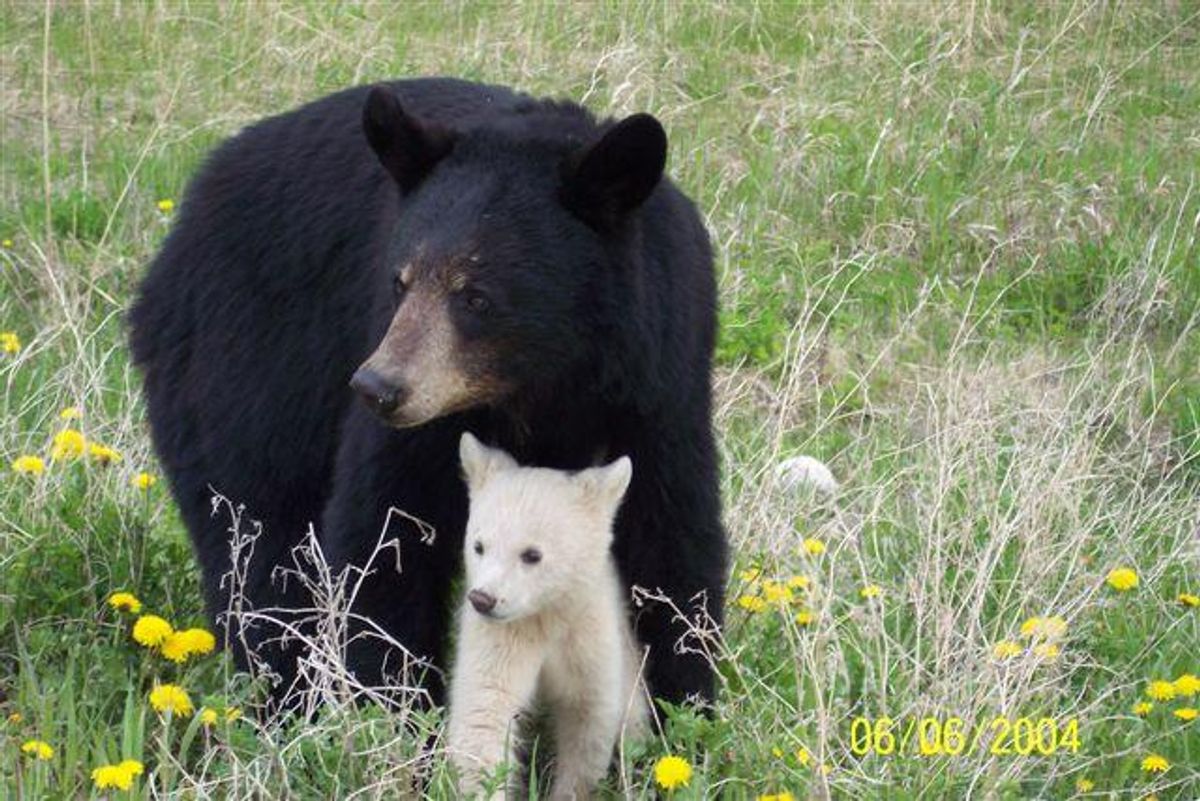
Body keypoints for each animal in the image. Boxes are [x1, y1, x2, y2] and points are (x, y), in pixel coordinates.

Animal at [128, 77, 726, 711]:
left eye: (477, 296)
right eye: (399, 281)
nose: (377, 388)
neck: (542, 383)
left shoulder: (657, 382)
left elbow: (669, 540)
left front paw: (684, 703)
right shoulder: (418, 417)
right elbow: (385, 534)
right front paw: (391, 704)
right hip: (241, 363)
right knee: (257, 534)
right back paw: (283, 689)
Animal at [447, 433, 646, 800]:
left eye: (532, 554)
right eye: (479, 546)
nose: (483, 599)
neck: (545, 613)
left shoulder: (587, 630)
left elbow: (588, 718)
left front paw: (570, 790)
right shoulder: (502, 635)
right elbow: (484, 711)